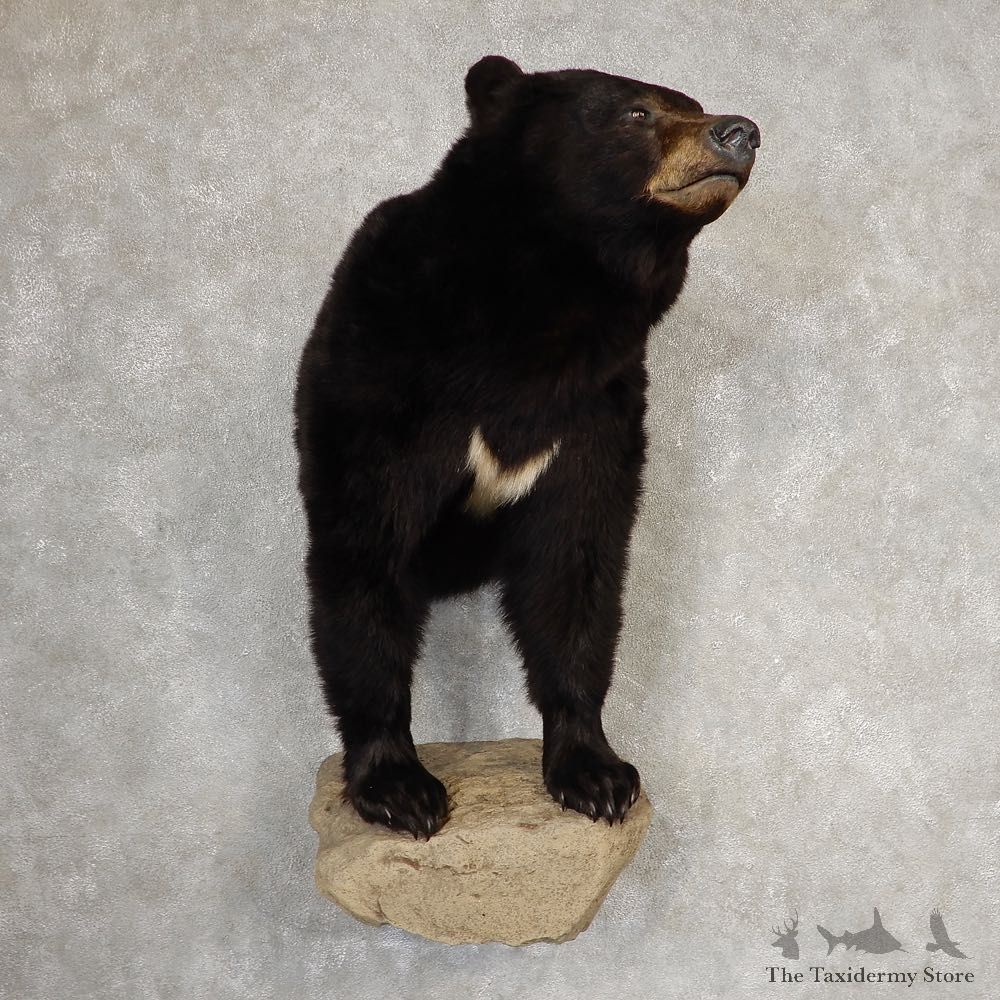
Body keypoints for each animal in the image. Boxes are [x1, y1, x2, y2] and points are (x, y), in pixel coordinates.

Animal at [294, 56, 759, 839]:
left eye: (689, 102)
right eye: (636, 112)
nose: (741, 132)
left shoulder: (596, 410)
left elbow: (576, 570)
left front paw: (597, 774)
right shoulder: (389, 379)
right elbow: (366, 553)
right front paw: (399, 786)